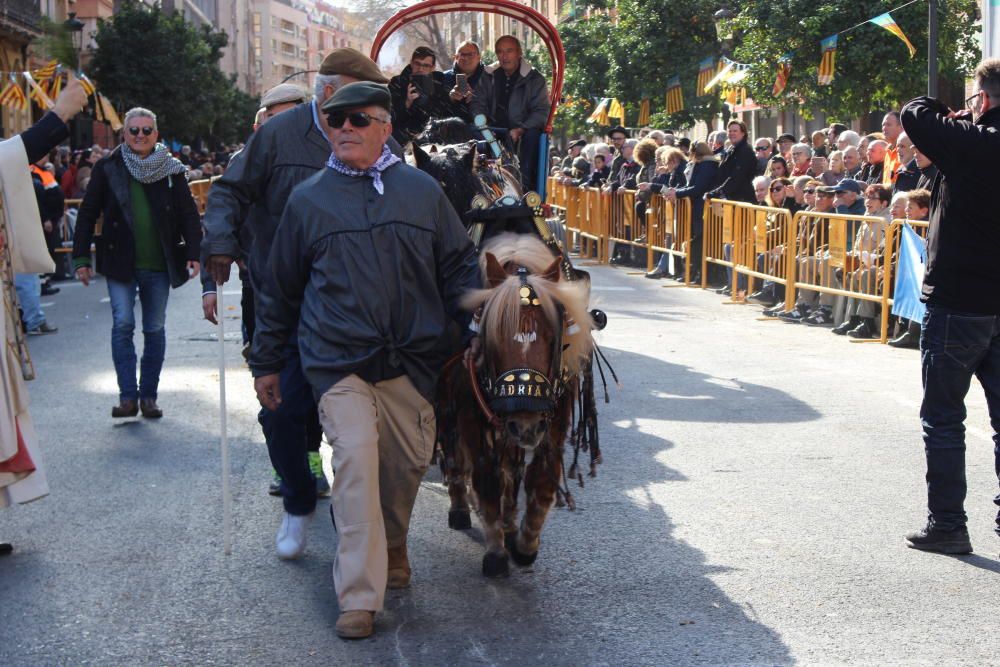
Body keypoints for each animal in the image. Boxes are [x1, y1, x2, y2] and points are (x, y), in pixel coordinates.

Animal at [438, 232, 592, 576]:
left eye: (552, 336)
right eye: (495, 335)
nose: (525, 422)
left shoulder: (552, 420)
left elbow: (542, 479)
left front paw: (524, 544)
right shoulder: (472, 418)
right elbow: (486, 478)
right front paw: (496, 550)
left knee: (513, 466)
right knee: (454, 454)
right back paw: (460, 505)